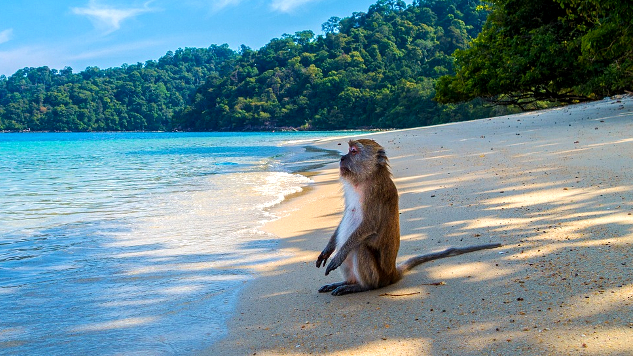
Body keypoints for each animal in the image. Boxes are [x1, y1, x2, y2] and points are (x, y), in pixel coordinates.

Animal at [314, 138, 498, 294]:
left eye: (353, 151)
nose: (341, 158)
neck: (366, 178)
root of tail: (392, 274)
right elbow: (345, 217)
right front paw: (328, 250)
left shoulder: (375, 192)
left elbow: (369, 225)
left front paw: (338, 255)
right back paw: (347, 283)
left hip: (378, 276)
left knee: (360, 247)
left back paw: (361, 286)